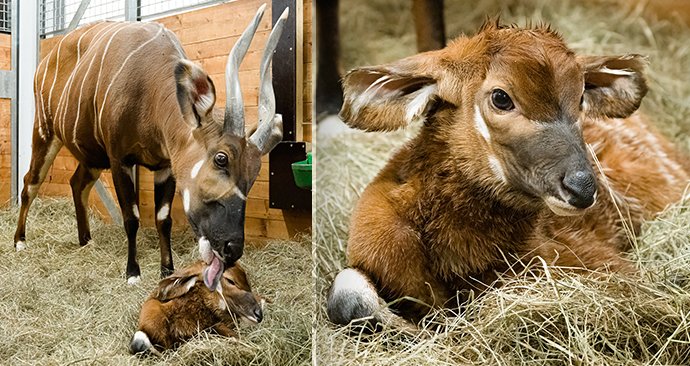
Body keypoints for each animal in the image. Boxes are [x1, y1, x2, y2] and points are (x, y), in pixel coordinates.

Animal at [13, 3, 288, 288]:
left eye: (255, 171)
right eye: (221, 158)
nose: (232, 248)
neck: (149, 92)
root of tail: (44, 62)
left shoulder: (165, 166)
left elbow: (163, 218)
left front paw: (167, 270)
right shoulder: (120, 160)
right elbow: (132, 217)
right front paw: (133, 273)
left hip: (92, 159)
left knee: (77, 183)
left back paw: (85, 240)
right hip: (44, 133)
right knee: (30, 182)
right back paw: (20, 241)